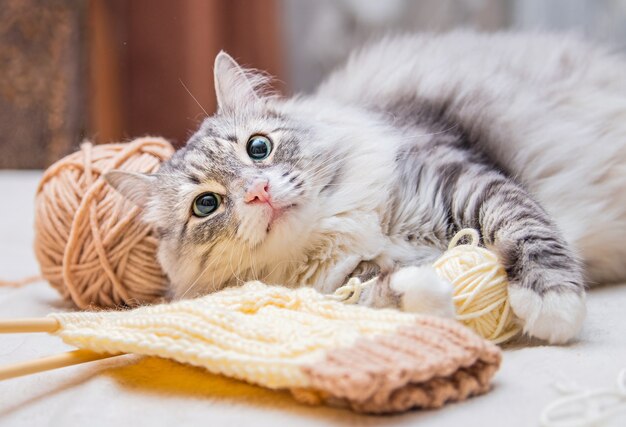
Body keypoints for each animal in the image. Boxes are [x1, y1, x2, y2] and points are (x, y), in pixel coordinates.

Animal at [105, 31, 624, 344]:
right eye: (207, 204)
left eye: (258, 148)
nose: (259, 193)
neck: (338, 230)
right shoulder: (341, 284)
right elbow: (375, 297)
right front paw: (427, 294)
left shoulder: (459, 177)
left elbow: (526, 228)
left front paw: (553, 306)